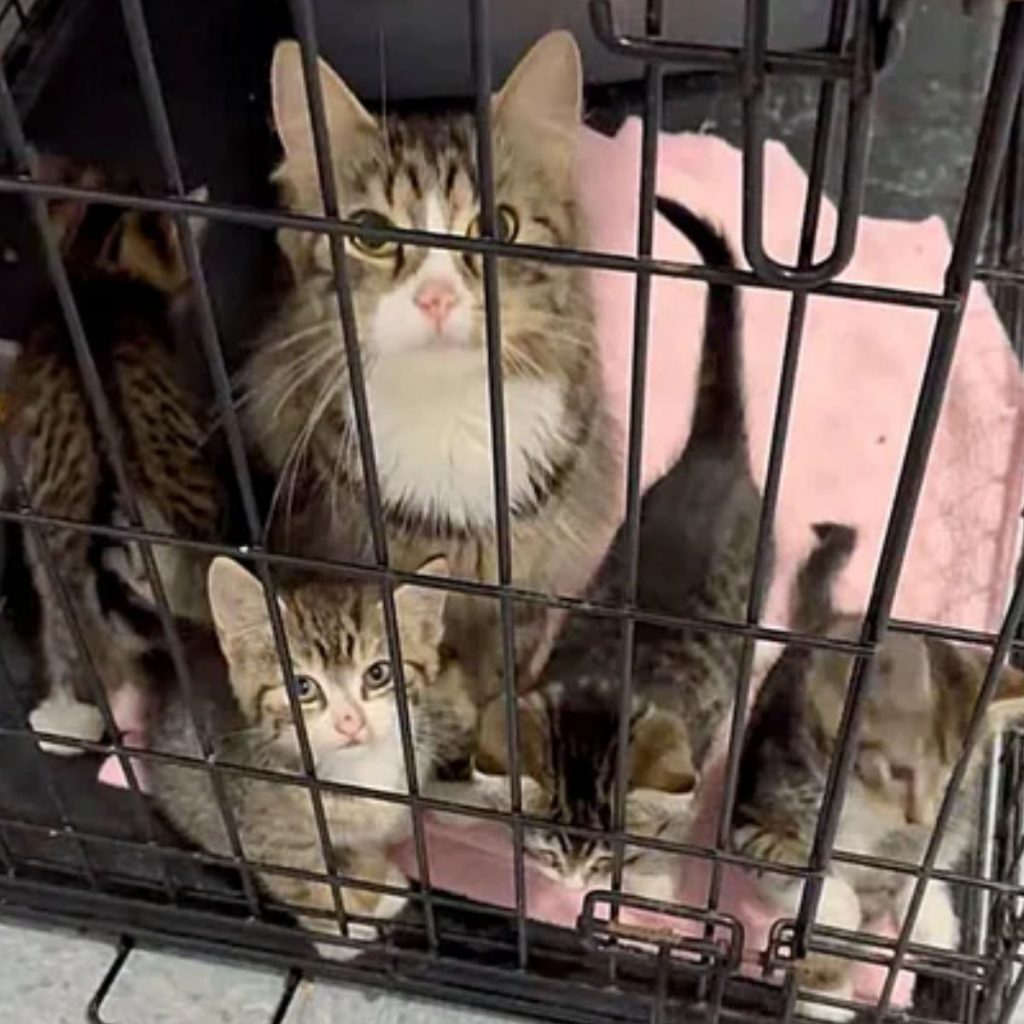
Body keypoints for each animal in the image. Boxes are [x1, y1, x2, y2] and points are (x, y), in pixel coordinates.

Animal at [148, 557, 475, 954]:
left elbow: (363, 845)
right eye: (302, 687)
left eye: (378, 673)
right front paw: (341, 931)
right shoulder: (270, 837)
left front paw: (377, 884)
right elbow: (302, 880)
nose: (350, 721)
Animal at [440, 197, 770, 897]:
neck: (602, 688)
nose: (571, 885)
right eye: (548, 849)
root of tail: (713, 454)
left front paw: (647, 886)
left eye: (603, 858)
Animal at [737, 524, 1024, 1019]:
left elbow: (907, 874)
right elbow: (802, 877)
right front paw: (829, 987)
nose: (920, 816)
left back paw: (932, 916)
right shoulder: (750, 814)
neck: (858, 806)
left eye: (949, 779)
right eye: (897, 771)